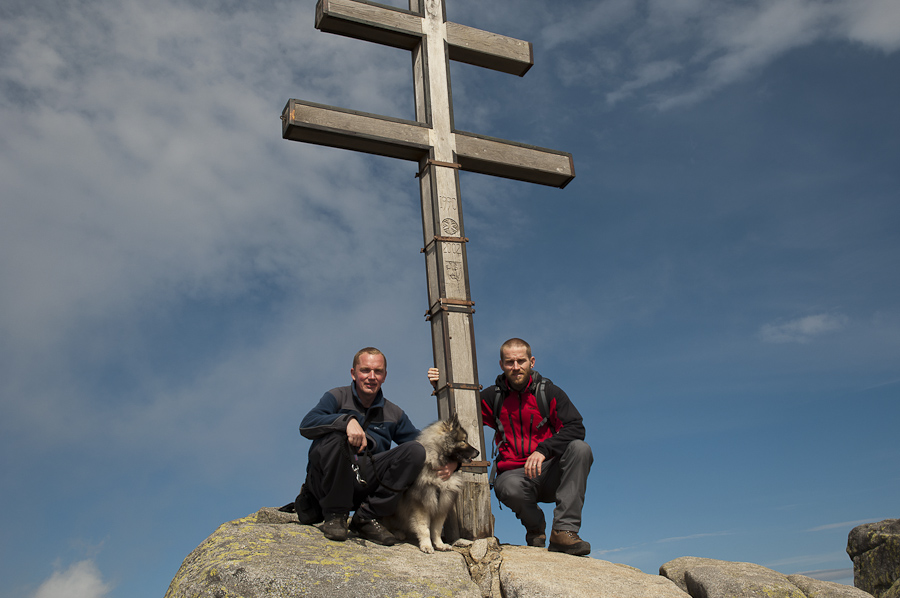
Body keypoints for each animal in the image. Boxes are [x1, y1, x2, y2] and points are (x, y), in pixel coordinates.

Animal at [388, 414, 486, 556]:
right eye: (463, 441)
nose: (478, 452)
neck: (438, 462)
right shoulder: (421, 505)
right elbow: (424, 529)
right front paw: (427, 546)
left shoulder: (442, 505)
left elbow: (436, 529)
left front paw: (440, 544)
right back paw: (396, 533)